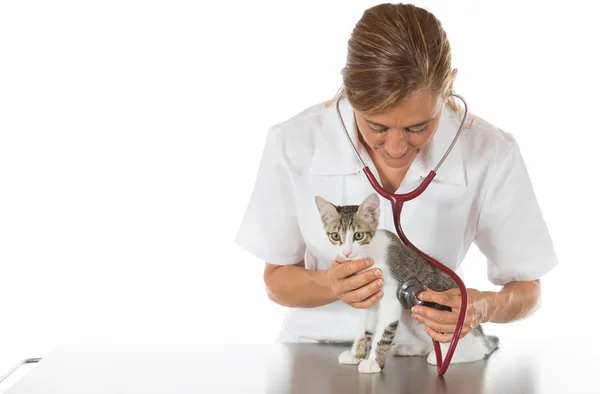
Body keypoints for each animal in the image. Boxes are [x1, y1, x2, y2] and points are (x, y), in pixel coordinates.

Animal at [312, 192, 500, 374]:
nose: (347, 252)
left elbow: (383, 333)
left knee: (476, 350)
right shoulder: (368, 296)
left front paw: (373, 362)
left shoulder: (391, 298)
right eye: (336, 236)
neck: (369, 254)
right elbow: (364, 328)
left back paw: (449, 356)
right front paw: (355, 354)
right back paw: (411, 348)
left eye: (358, 235)